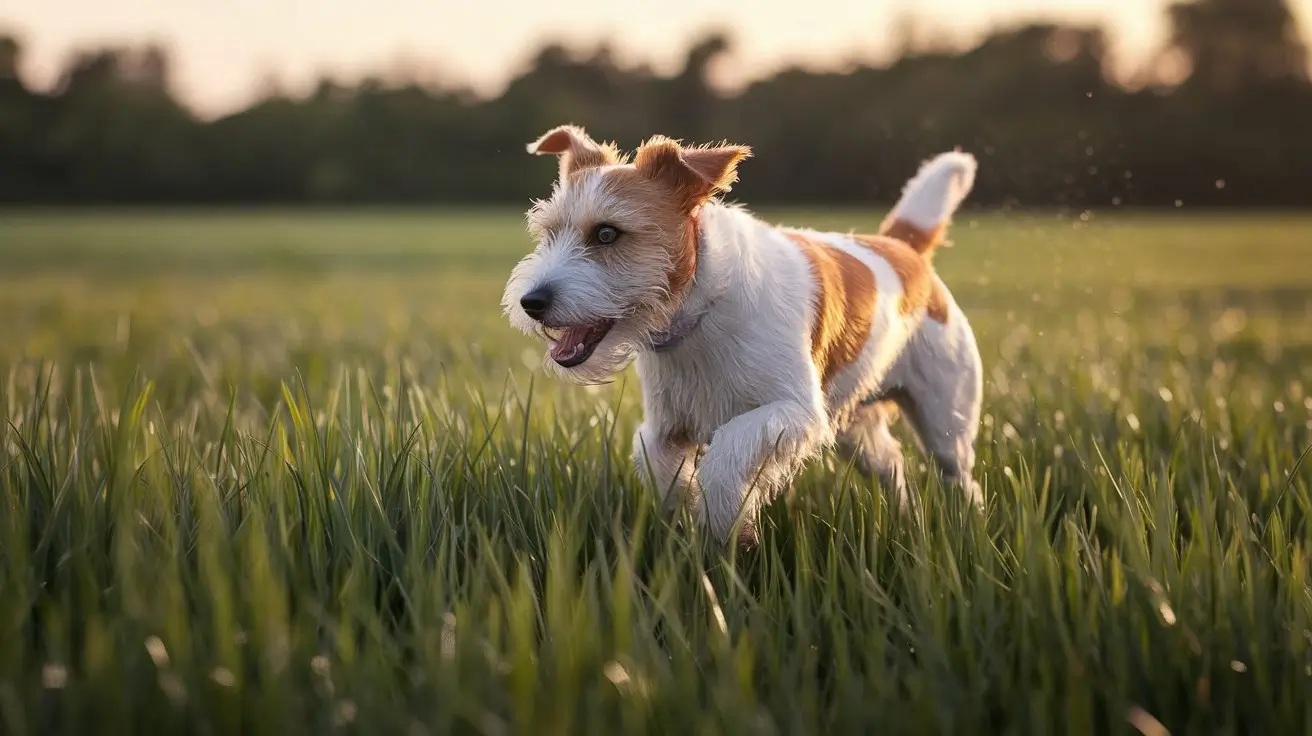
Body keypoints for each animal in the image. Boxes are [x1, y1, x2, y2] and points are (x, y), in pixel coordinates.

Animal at [501, 123, 986, 545]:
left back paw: (968, 525)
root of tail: (903, 248)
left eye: (606, 233)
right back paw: (910, 517)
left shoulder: (793, 411)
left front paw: (727, 523)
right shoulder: (667, 426)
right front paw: (688, 515)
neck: (700, 308)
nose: (531, 302)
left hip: (946, 420)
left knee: (959, 475)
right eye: (549, 233)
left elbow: (727, 453)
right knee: (893, 466)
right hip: (856, 432)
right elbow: (653, 459)